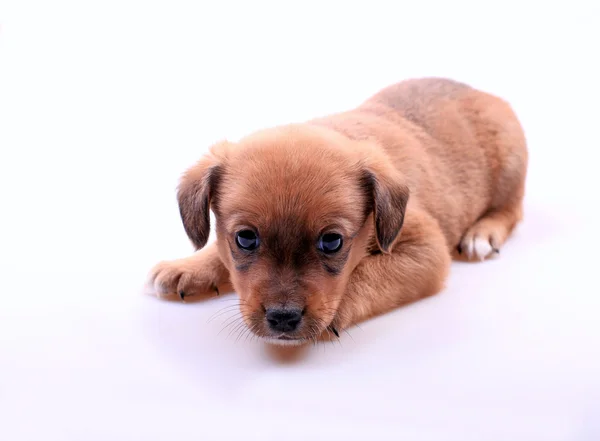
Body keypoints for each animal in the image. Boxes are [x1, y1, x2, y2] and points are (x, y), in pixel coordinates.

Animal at [148, 77, 528, 346]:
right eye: (245, 238)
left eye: (332, 242)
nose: (283, 318)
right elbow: (216, 251)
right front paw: (190, 267)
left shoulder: (426, 249)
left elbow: (368, 274)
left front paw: (338, 309)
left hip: (511, 169)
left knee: (511, 210)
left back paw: (481, 233)